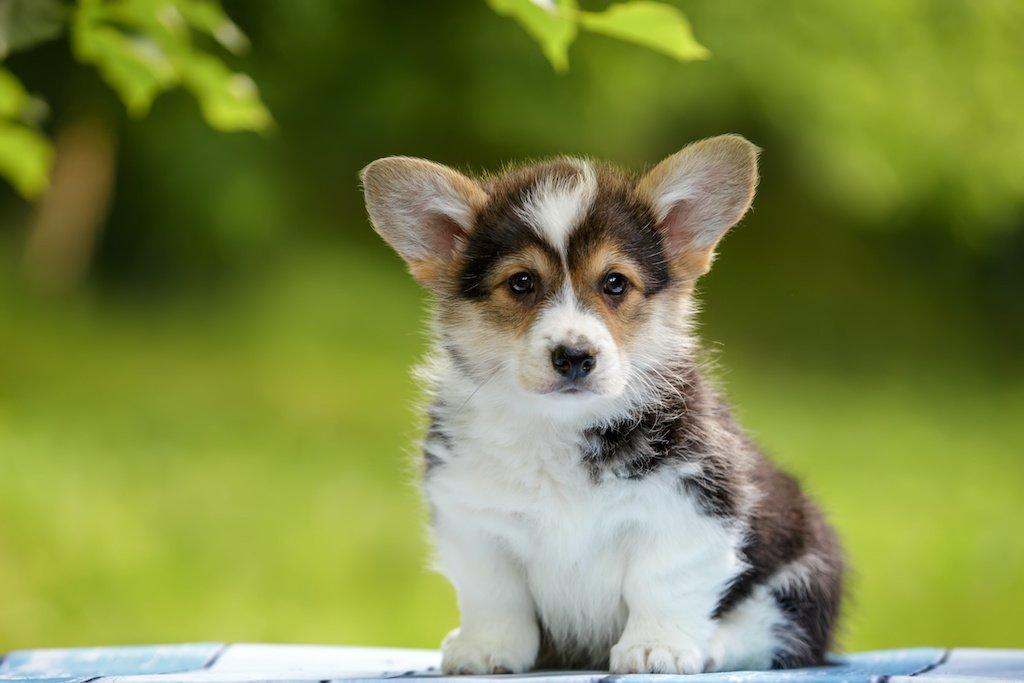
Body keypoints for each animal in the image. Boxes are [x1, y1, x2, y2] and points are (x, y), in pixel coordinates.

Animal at [360, 136, 839, 675]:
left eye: (615, 283)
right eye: (521, 282)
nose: (574, 356)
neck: (561, 426)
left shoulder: (690, 505)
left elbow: (662, 583)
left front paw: (656, 648)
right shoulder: (474, 523)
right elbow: (495, 594)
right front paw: (488, 648)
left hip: (807, 571)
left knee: (774, 632)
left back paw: (712, 645)